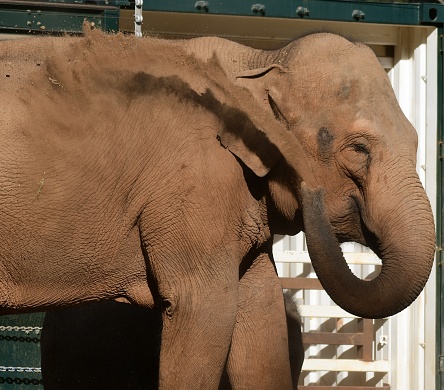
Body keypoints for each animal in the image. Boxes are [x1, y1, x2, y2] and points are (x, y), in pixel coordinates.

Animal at [0, 28, 436, 390]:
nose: (307, 180)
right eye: (358, 150)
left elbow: (261, 315)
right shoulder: (193, 183)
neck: (255, 60)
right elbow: (204, 308)